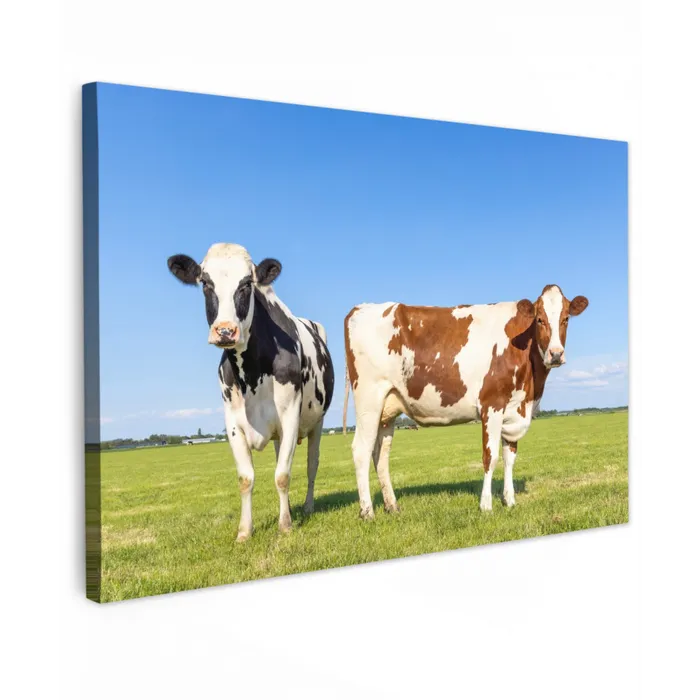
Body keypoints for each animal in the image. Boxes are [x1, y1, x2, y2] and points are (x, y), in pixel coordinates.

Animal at [168, 243, 334, 541]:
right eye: (205, 283)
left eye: (246, 284)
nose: (225, 331)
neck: (252, 373)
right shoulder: (233, 423)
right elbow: (246, 478)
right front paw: (245, 531)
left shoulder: (290, 416)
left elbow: (283, 475)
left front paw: (285, 526)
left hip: (317, 422)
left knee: (311, 465)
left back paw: (306, 506)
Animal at [342, 285, 588, 519]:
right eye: (539, 319)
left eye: (566, 318)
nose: (556, 354)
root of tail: (360, 308)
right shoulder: (492, 405)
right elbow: (491, 457)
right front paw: (486, 505)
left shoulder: (514, 410)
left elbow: (510, 457)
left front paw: (509, 500)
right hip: (369, 399)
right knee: (361, 450)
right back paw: (367, 512)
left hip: (387, 408)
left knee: (380, 454)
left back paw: (392, 506)